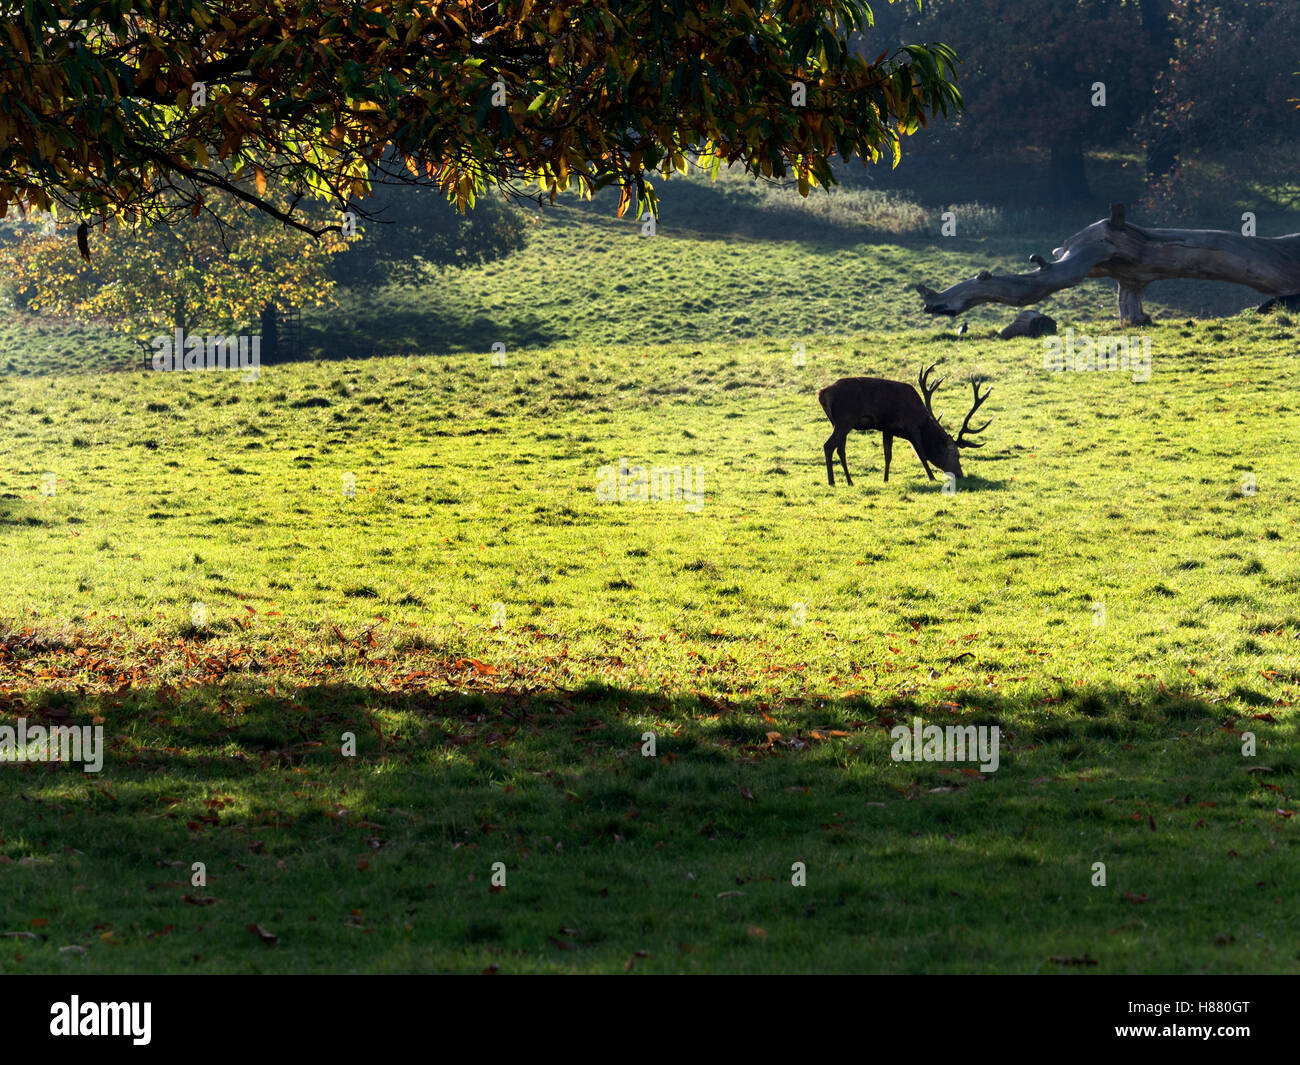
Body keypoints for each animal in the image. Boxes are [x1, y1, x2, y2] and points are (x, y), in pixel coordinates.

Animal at [818, 363, 992, 486]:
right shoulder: (912, 426)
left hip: (837, 423)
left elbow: (887, 455)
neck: (922, 419)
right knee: (828, 446)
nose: (960, 475)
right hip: (845, 420)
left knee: (840, 449)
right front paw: (932, 478)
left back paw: (849, 481)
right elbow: (921, 454)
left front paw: (885, 479)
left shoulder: (887, 429)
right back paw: (832, 481)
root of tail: (822, 393)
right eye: (956, 454)